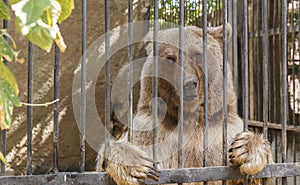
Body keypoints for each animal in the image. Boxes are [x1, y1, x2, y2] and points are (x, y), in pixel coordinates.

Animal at [96, 24, 272, 185]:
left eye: (198, 54)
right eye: (170, 57)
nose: (188, 83)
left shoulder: (221, 134)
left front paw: (246, 148)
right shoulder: (150, 132)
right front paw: (135, 164)